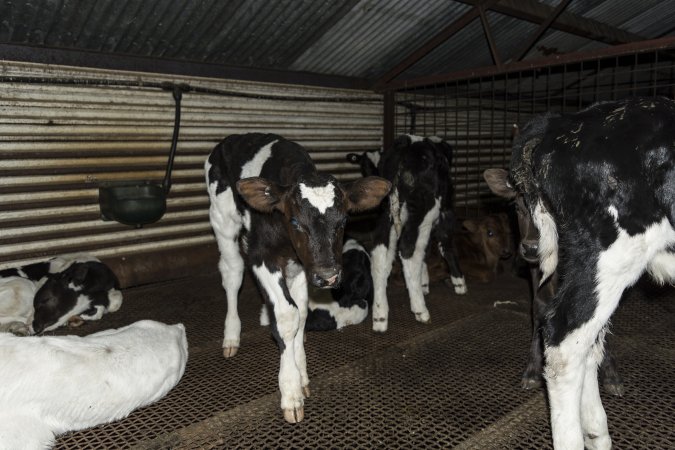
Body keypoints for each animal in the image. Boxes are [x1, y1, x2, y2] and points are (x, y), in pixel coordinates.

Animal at [205, 133, 390, 422]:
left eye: (343, 220)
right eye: (295, 222)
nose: (328, 276)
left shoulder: (304, 266)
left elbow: (301, 313)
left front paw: (301, 373)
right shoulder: (262, 257)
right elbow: (286, 315)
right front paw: (290, 390)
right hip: (222, 219)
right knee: (232, 272)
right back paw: (231, 335)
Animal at [368, 134, 468, 330]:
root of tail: (406, 146)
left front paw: (424, 282)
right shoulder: (445, 213)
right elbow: (445, 244)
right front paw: (459, 282)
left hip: (386, 213)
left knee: (380, 254)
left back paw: (380, 315)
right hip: (423, 212)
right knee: (409, 251)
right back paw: (420, 309)